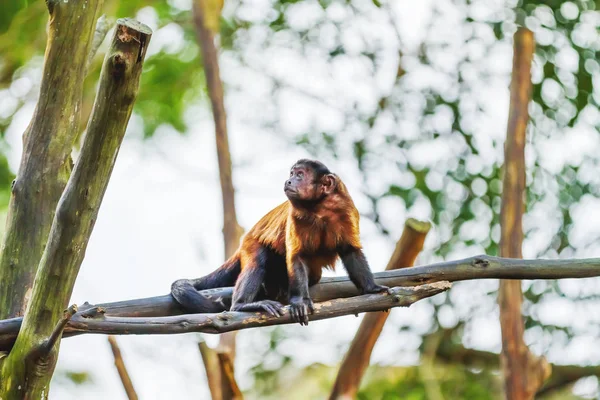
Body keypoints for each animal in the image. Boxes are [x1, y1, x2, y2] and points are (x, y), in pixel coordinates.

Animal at [172, 159, 390, 324]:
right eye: (292, 173)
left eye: (300, 175)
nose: (289, 181)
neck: (320, 206)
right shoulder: (296, 214)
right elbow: (296, 256)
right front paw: (300, 301)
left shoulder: (346, 207)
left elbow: (350, 250)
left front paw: (371, 288)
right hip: (250, 243)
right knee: (258, 261)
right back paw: (242, 304)